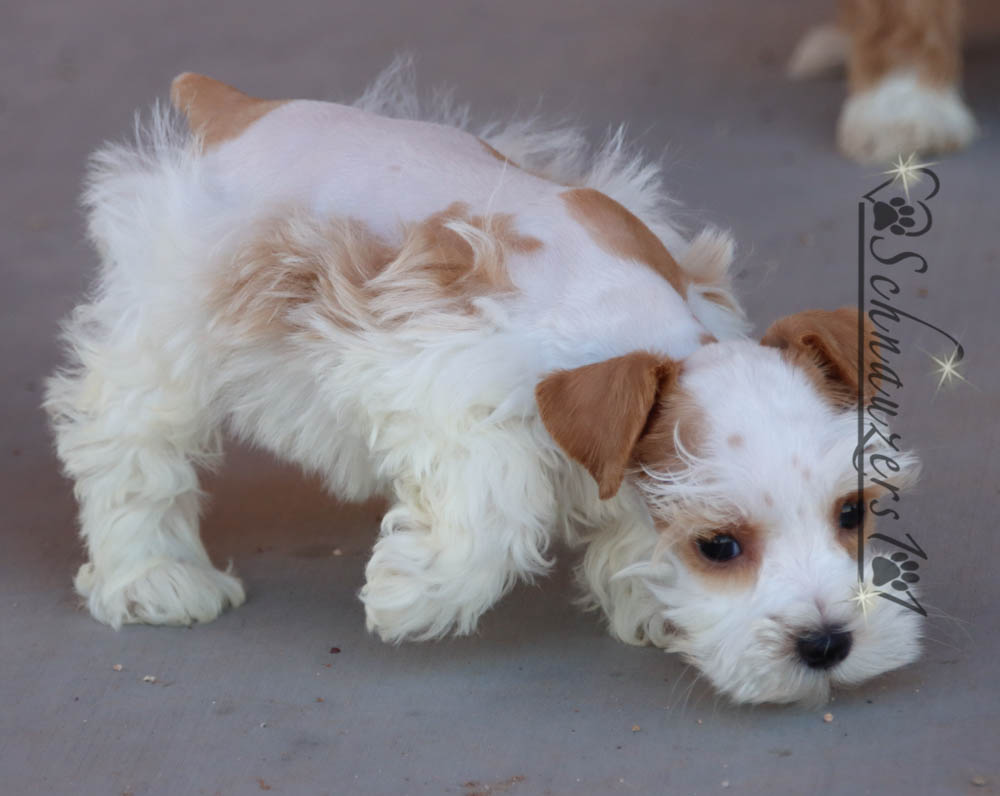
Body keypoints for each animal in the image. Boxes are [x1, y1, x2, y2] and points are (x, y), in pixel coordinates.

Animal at [45, 62, 921, 704]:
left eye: (853, 512)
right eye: (720, 546)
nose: (827, 643)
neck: (625, 325)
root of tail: (231, 109)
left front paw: (648, 603)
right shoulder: (438, 385)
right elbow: (495, 517)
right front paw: (408, 595)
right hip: (171, 336)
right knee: (128, 449)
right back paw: (155, 580)